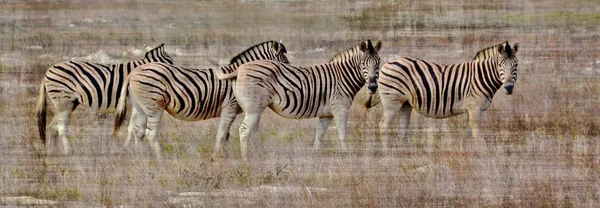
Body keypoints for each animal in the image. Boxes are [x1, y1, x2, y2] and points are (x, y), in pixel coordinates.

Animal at [36, 43, 173, 154]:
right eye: (170, 62)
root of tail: (48, 71)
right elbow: (133, 126)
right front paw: (130, 147)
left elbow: (131, 127)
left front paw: (128, 147)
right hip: (64, 101)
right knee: (60, 127)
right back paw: (68, 151)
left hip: (66, 103)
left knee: (52, 127)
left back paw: (52, 149)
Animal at [113, 40, 290, 158]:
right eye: (284, 60)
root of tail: (134, 72)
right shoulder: (230, 106)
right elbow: (222, 134)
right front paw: (216, 157)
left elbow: (226, 135)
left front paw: (223, 156)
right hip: (154, 105)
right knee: (150, 133)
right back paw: (160, 159)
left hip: (140, 106)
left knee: (138, 131)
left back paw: (142, 157)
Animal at [221, 39, 384, 159]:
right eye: (363, 64)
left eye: (378, 63)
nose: (373, 87)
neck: (342, 76)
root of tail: (239, 69)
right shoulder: (340, 108)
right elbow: (342, 135)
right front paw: (347, 156)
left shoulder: (326, 114)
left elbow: (319, 136)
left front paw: (314, 157)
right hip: (254, 108)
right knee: (244, 130)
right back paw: (245, 158)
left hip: (254, 108)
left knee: (251, 130)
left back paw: (257, 155)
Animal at [378, 41, 516, 151]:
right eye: (500, 65)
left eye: (515, 65)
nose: (509, 88)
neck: (481, 76)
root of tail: (386, 63)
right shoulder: (474, 108)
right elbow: (477, 134)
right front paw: (480, 152)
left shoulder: (469, 109)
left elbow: (468, 133)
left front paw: (468, 151)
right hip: (392, 103)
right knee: (383, 127)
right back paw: (386, 153)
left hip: (405, 104)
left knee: (403, 129)